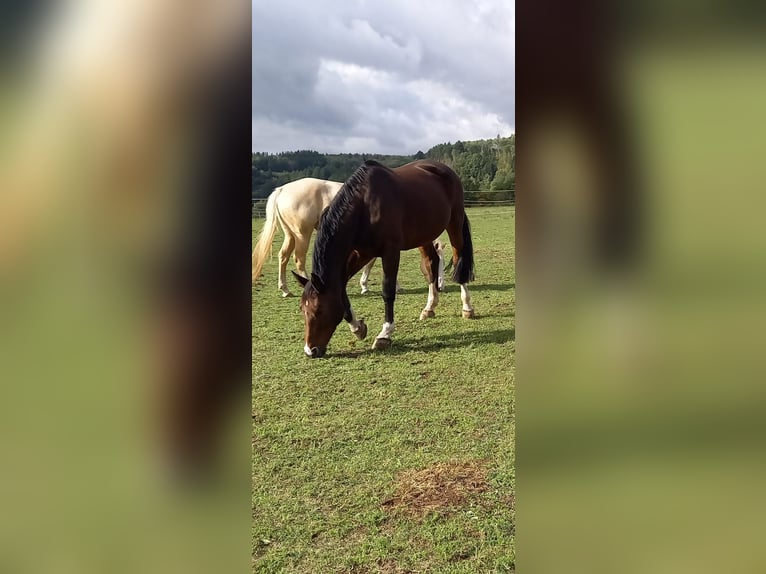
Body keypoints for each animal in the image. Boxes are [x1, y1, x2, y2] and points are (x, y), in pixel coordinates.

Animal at [252, 178, 442, 296]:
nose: (440, 285)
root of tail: (282, 189)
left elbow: (371, 263)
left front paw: (365, 285)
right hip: (302, 235)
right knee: (298, 259)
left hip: (290, 234)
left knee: (283, 257)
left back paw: (285, 289)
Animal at [293, 159, 475, 358]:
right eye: (302, 309)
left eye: (318, 310)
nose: (310, 351)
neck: (364, 207)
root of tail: (444, 169)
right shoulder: (362, 253)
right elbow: (341, 287)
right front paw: (357, 327)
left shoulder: (390, 252)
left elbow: (388, 292)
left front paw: (385, 334)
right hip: (424, 236)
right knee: (431, 264)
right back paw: (429, 308)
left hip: (455, 223)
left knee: (458, 260)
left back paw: (467, 307)